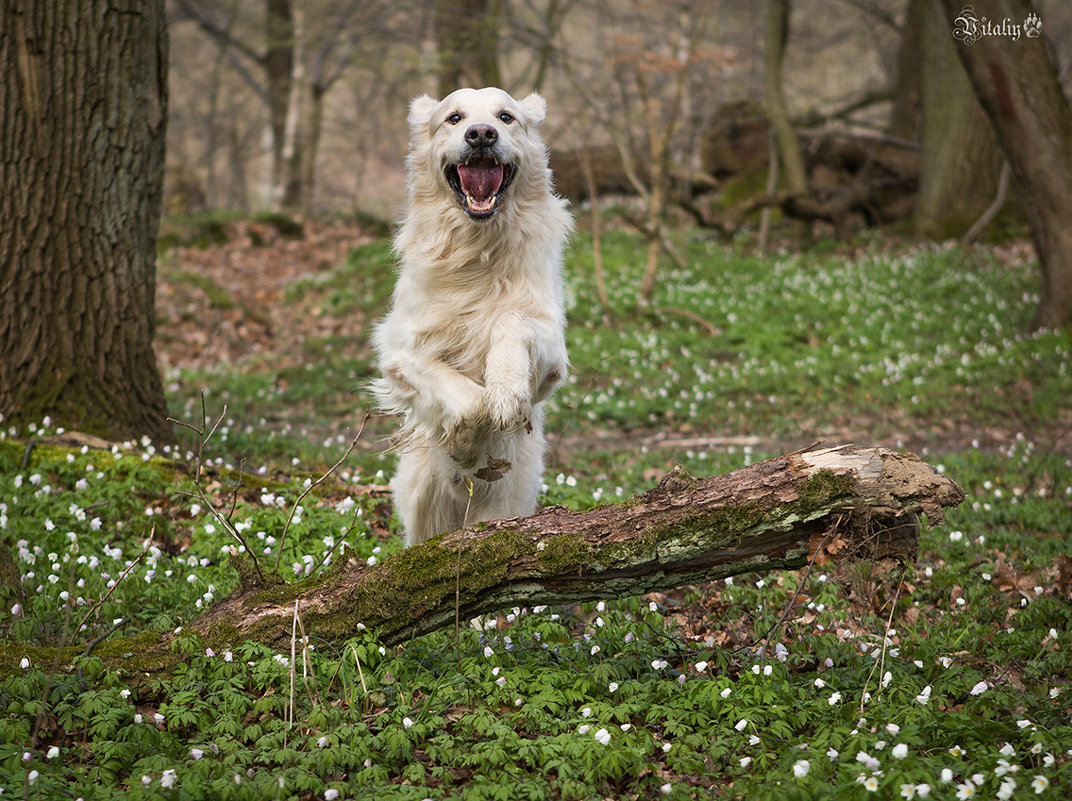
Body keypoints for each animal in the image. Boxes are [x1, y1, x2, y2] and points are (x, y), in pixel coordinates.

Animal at [370, 89, 574, 553]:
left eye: (507, 117)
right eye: (454, 118)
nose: (481, 134)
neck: (478, 248)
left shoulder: (553, 353)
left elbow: (511, 320)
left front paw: (506, 390)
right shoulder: (397, 352)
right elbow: (465, 398)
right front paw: (465, 441)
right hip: (423, 504)